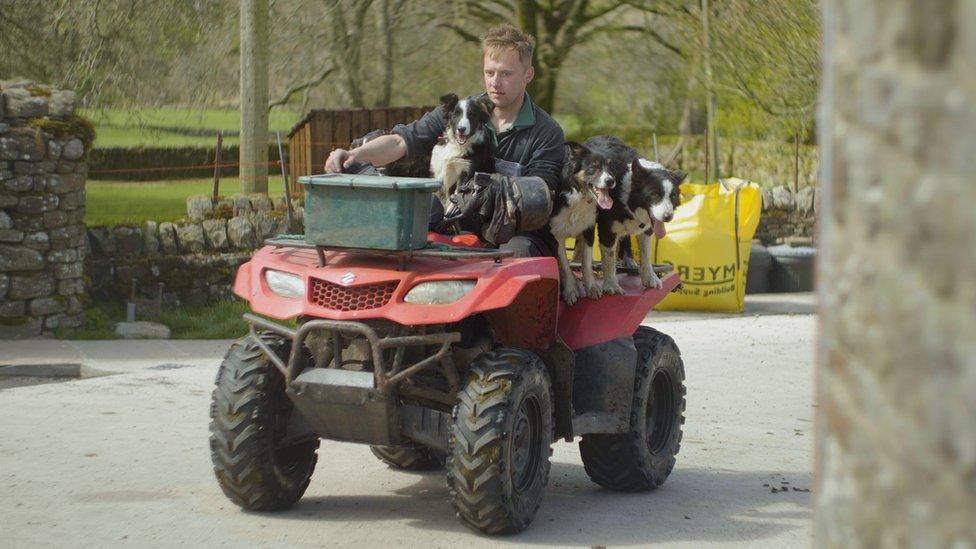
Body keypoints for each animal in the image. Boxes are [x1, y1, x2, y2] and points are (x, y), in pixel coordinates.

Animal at [548, 139, 616, 304]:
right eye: (593, 168)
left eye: (611, 168)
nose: (610, 181)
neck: (579, 195)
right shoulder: (556, 235)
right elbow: (564, 265)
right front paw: (570, 290)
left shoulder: (588, 231)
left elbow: (586, 262)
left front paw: (591, 287)